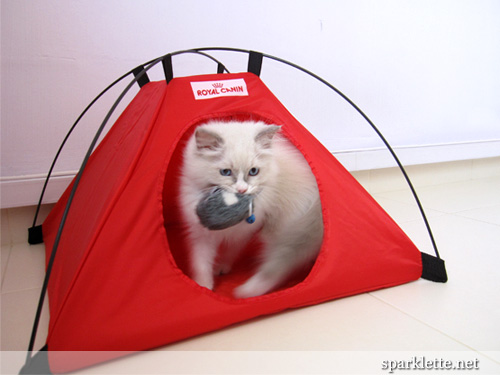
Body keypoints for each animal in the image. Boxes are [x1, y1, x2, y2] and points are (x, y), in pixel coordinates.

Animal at [180, 119, 324, 298]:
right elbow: (201, 263)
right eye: (225, 172)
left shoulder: (243, 232)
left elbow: (230, 252)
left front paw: (221, 268)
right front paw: (203, 287)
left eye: (253, 171)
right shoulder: (200, 233)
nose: (242, 190)